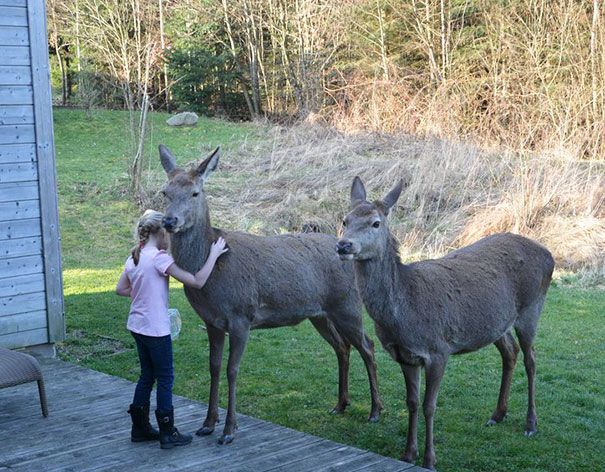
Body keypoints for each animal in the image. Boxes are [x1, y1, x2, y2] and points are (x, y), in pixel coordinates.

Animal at [157, 146, 382, 444]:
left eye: (195, 193)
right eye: (165, 192)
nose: (170, 221)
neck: (209, 276)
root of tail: (351, 253)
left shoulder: (241, 316)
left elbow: (232, 370)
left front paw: (229, 430)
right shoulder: (212, 322)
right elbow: (213, 367)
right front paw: (207, 424)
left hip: (348, 305)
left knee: (367, 345)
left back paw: (375, 411)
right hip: (321, 314)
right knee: (342, 347)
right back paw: (340, 405)